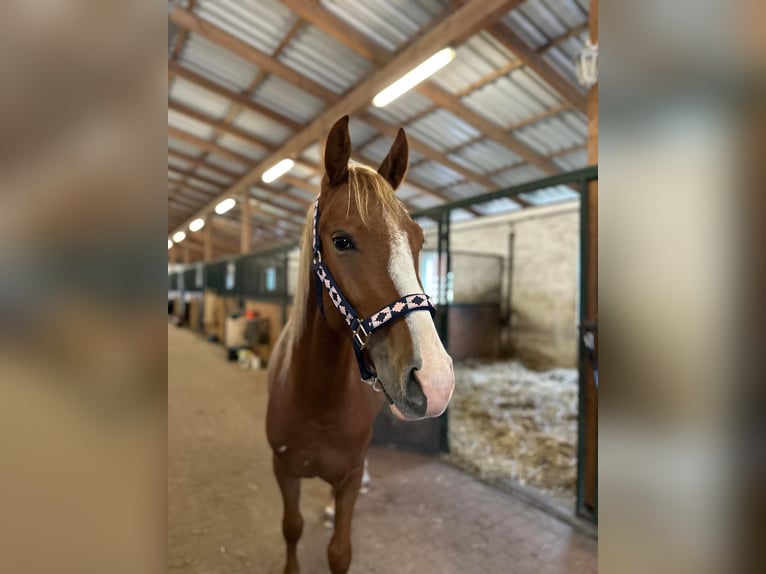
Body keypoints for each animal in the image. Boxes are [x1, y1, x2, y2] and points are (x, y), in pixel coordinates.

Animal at [266, 115, 455, 574]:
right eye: (341, 240)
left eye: (418, 241)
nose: (436, 380)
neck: (315, 401)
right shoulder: (283, 470)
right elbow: (292, 528)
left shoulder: (347, 478)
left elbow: (340, 551)